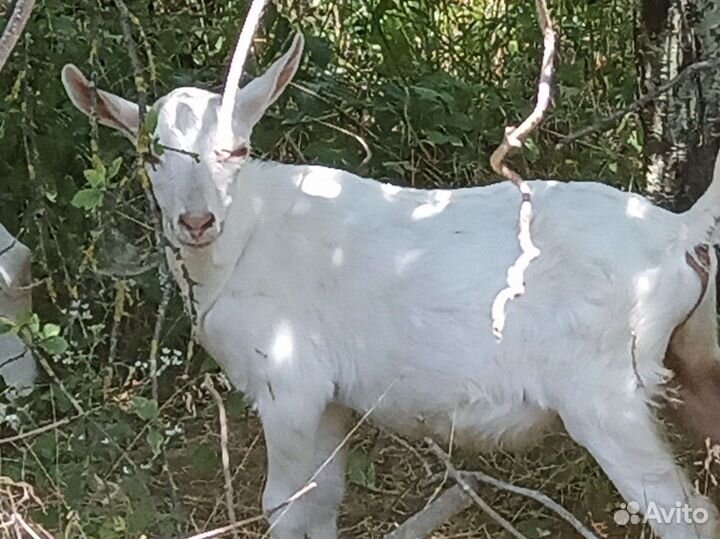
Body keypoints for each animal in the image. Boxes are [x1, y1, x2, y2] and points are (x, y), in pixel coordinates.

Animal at [60, 33, 720, 539]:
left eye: (238, 149)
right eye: (149, 156)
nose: (196, 221)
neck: (245, 241)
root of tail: (678, 233)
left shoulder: (288, 382)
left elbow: (285, 508)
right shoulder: (330, 399)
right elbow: (323, 502)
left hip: (607, 394)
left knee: (684, 515)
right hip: (688, 366)